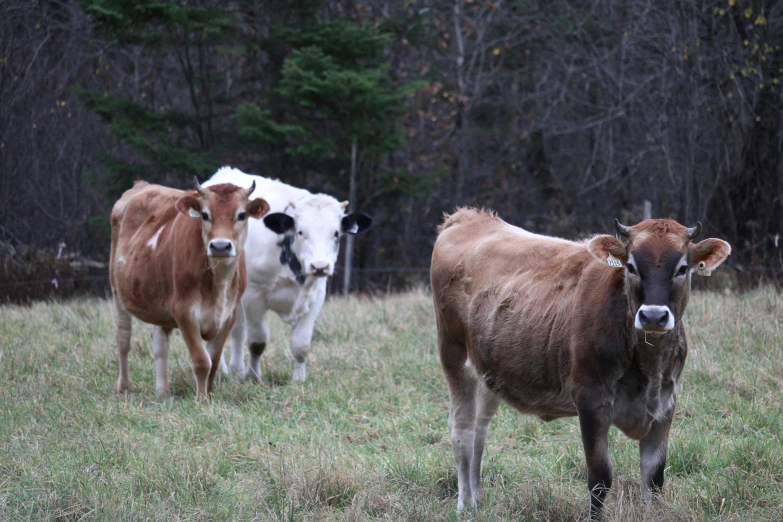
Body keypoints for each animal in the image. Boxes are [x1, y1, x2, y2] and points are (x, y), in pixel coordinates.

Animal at [110, 179, 270, 398]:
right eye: (205, 214)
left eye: (241, 215)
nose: (220, 246)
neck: (218, 284)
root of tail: (142, 184)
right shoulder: (184, 312)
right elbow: (202, 361)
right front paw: (201, 399)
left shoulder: (229, 315)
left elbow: (214, 361)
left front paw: (210, 396)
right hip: (117, 292)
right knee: (123, 340)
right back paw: (124, 387)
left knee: (160, 344)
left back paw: (163, 393)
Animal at [202, 168, 374, 382]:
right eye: (300, 232)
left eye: (336, 233)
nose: (320, 266)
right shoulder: (253, 296)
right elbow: (257, 341)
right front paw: (253, 377)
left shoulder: (315, 297)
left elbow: (301, 344)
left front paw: (298, 380)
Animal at [432, 207, 732, 516]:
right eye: (631, 266)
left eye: (682, 268)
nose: (653, 316)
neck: (649, 364)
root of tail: (468, 217)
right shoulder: (590, 400)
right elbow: (600, 478)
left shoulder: (665, 402)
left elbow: (654, 478)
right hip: (453, 355)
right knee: (463, 430)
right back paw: (464, 505)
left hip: (488, 371)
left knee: (480, 429)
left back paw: (477, 501)